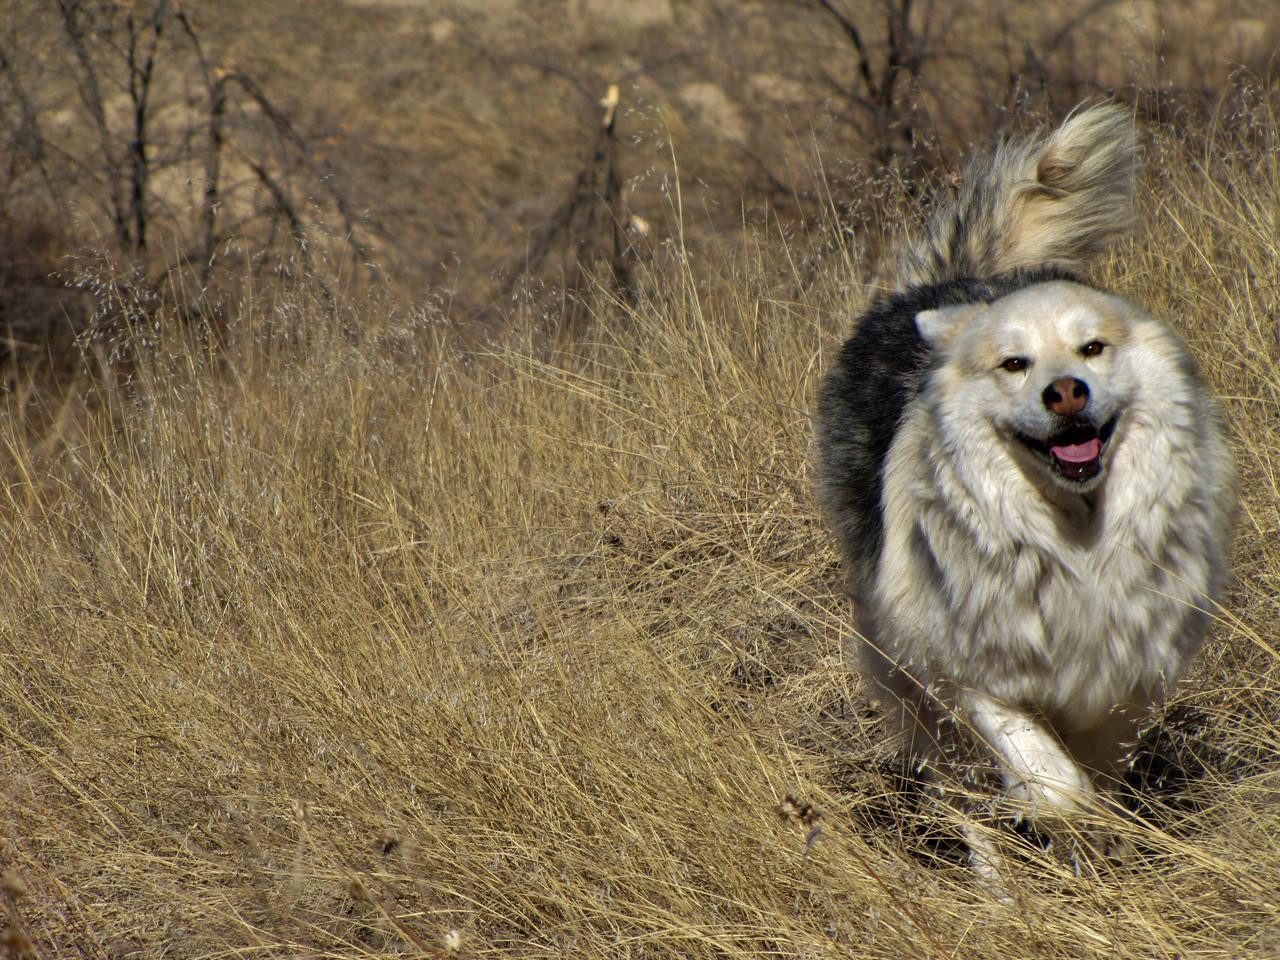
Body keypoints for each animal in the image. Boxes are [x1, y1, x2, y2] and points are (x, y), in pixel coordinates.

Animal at [815, 105, 1237, 878]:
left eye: (1092, 348)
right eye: (1014, 364)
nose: (1065, 392)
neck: (1074, 535)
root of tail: (960, 283)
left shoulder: (1130, 675)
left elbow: (1098, 773)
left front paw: (1096, 853)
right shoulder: (970, 672)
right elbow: (1052, 780)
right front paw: (1053, 823)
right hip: (915, 690)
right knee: (956, 794)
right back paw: (995, 885)